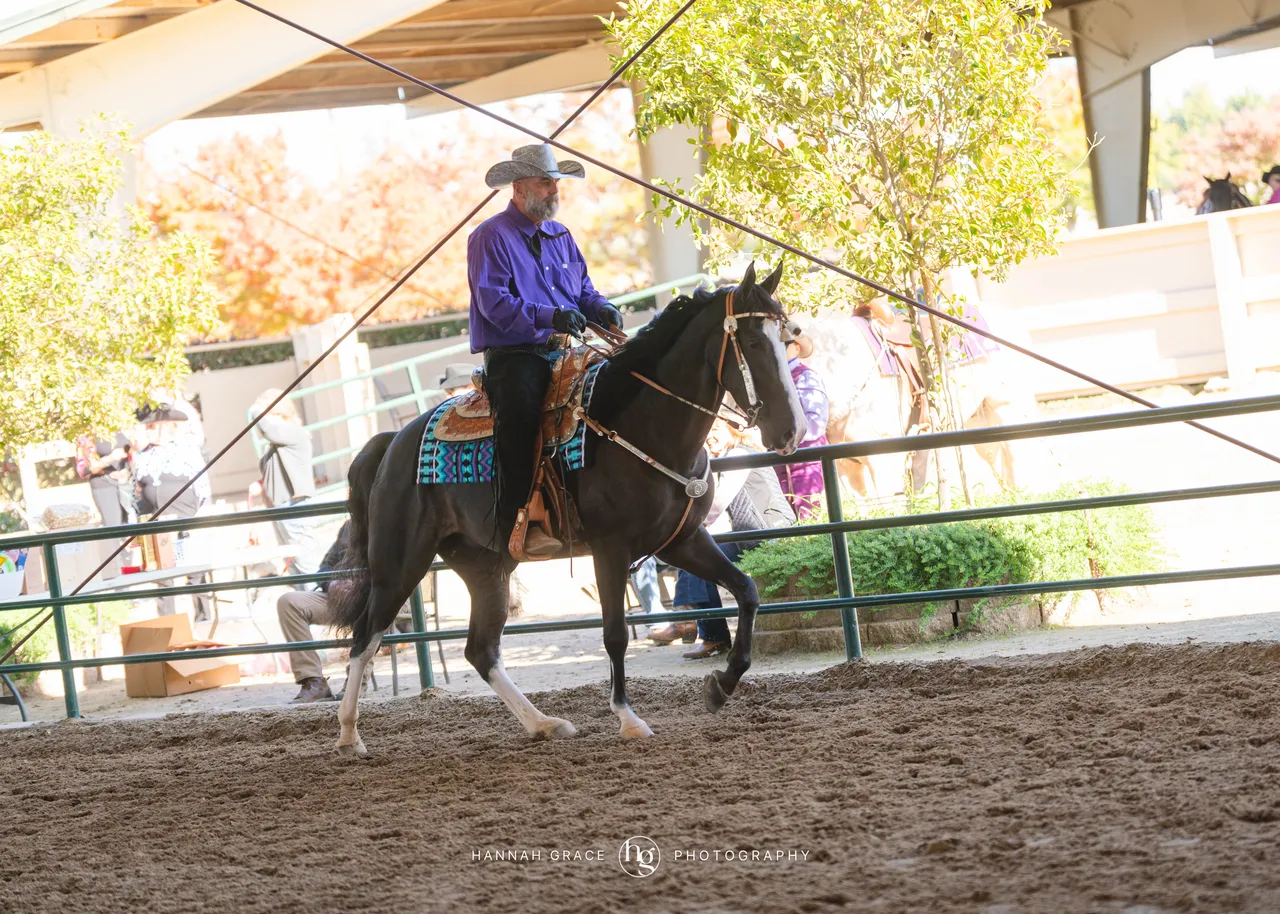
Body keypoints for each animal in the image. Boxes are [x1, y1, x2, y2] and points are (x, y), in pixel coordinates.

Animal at [331, 262, 804, 757]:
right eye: (754, 343)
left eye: (787, 339)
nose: (792, 430)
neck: (642, 424)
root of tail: (394, 441)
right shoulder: (611, 548)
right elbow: (615, 633)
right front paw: (628, 719)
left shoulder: (681, 541)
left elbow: (747, 590)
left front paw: (722, 685)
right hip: (400, 563)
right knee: (365, 638)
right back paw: (348, 735)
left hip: (484, 565)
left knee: (481, 650)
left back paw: (544, 723)